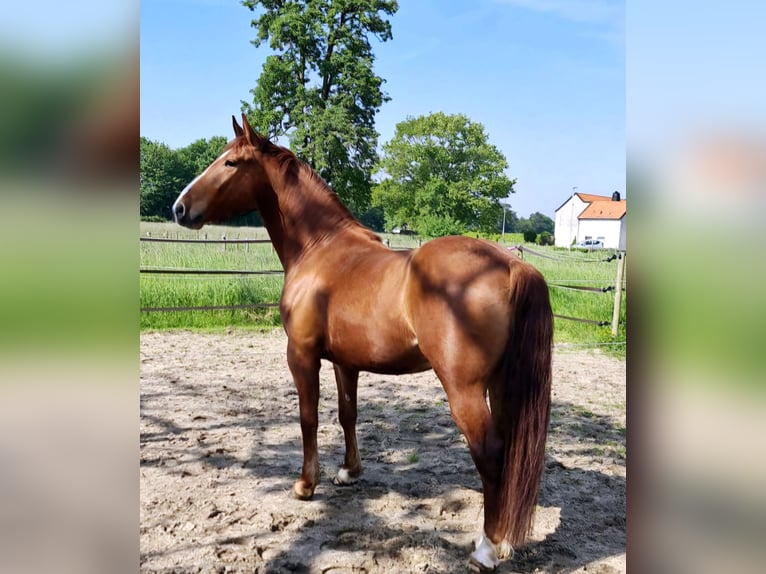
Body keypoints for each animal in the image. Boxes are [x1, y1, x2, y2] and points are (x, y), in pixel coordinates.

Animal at [172, 114, 553, 571]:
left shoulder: (302, 355)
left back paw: (486, 549)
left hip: (464, 390)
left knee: (492, 454)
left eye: (230, 162)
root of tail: (511, 264)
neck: (320, 250)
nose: (179, 208)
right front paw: (349, 472)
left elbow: (308, 417)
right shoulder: (345, 361)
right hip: (500, 385)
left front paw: (306, 484)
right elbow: (347, 414)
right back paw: (506, 541)